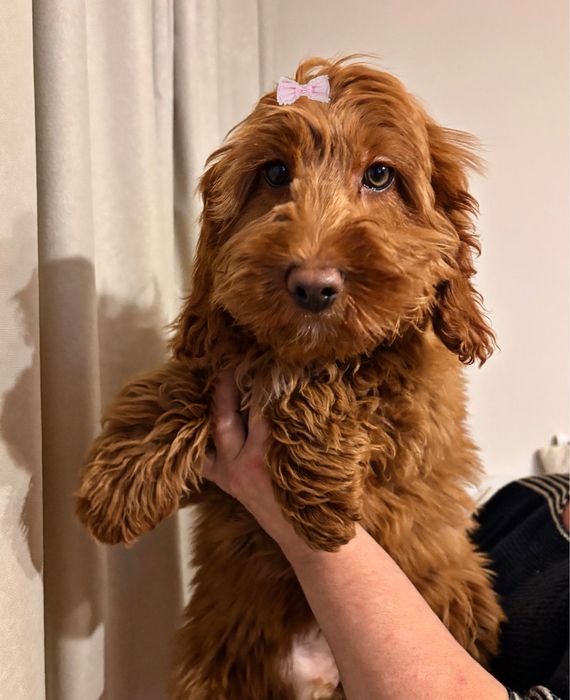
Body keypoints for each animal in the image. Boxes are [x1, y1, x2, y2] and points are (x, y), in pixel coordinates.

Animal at [77, 56, 503, 699]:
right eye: (275, 172)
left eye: (381, 176)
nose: (312, 285)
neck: (300, 350)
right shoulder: (218, 452)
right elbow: (183, 380)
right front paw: (115, 486)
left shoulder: (412, 415)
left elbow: (342, 380)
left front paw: (319, 502)